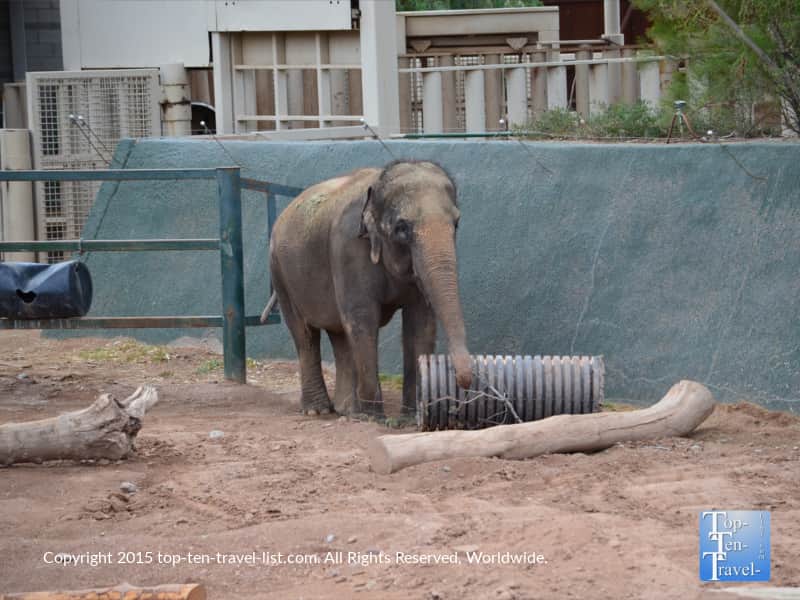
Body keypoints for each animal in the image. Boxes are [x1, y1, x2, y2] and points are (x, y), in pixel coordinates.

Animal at [262, 160, 472, 416]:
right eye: (401, 228)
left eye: (456, 223)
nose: (464, 381)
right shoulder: (348, 247)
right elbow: (363, 317)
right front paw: (375, 416)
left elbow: (420, 322)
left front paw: (410, 416)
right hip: (280, 272)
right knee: (304, 334)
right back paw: (319, 411)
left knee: (339, 334)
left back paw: (346, 410)